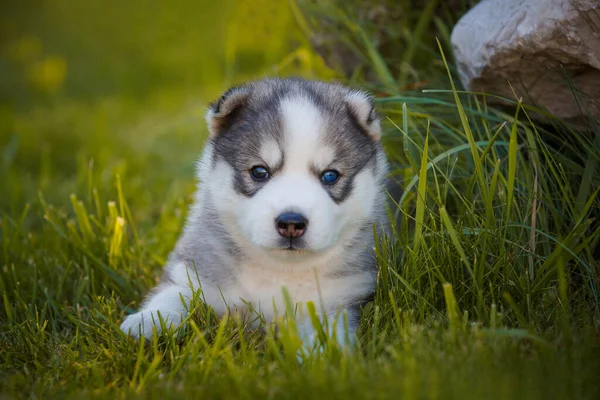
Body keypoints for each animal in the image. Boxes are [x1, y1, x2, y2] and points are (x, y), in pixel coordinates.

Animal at [119, 78, 390, 346]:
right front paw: (148, 321)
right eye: (259, 171)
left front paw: (324, 354)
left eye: (330, 175)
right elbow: (174, 293)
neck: (280, 271)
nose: (291, 223)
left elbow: (325, 332)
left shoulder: (337, 300)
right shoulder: (194, 271)